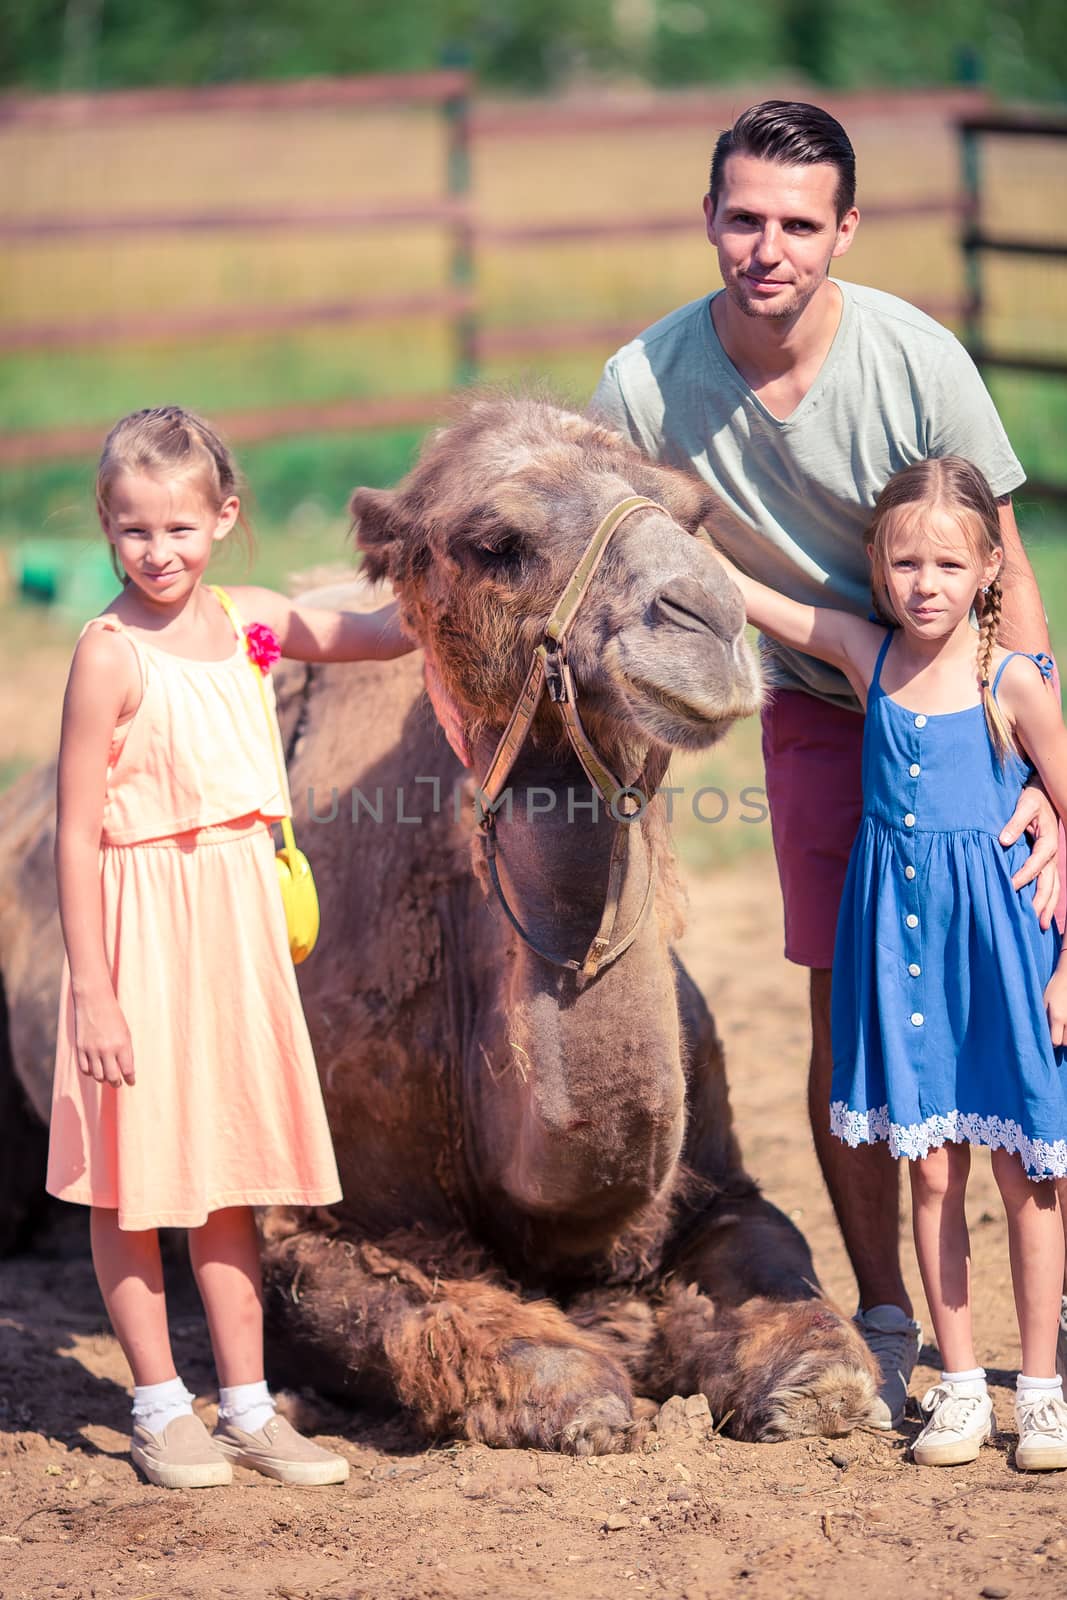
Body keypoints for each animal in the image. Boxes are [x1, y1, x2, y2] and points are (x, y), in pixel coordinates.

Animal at [0, 396, 876, 1452]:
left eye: (694, 514)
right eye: (494, 542)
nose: (707, 620)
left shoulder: (723, 1185)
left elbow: (795, 1288)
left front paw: (808, 1377)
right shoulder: (315, 1220)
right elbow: (448, 1331)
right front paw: (586, 1377)